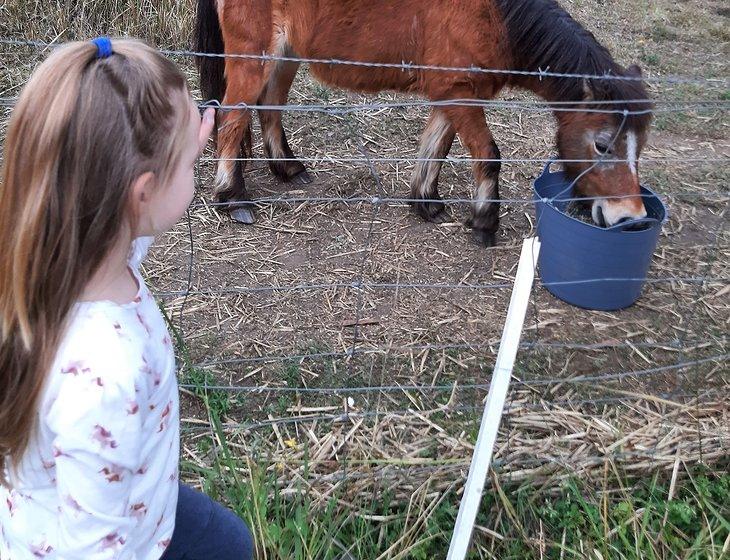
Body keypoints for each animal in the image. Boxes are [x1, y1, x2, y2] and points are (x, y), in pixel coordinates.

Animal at [193, 0, 648, 245]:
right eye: (603, 145)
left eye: (638, 148)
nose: (632, 218)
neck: (496, 16)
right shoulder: (460, 93)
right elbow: (488, 155)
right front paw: (484, 223)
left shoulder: (453, 93)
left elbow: (436, 145)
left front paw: (425, 201)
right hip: (254, 57)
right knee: (232, 116)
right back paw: (232, 198)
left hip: (285, 56)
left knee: (269, 106)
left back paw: (286, 168)